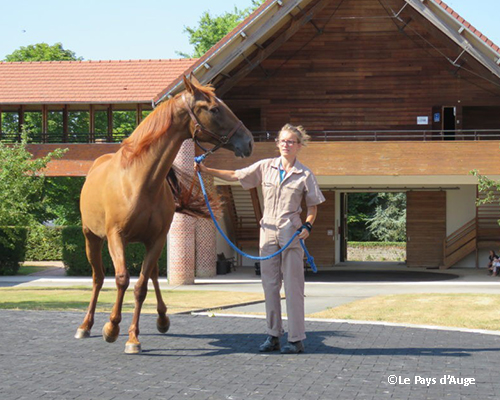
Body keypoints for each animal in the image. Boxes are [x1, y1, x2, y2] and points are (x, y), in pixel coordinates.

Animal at [74, 75, 254, 354]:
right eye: (214, 109)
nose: (248, 141)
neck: (139, 180)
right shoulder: (116, 237)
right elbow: (122, 279)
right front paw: (111, 328)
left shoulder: (157, 239)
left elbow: (140, 286)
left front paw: (133, 338)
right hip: (91, 238)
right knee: (98, 277)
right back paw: (85, 325)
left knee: (151, 276)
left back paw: (162, 319)